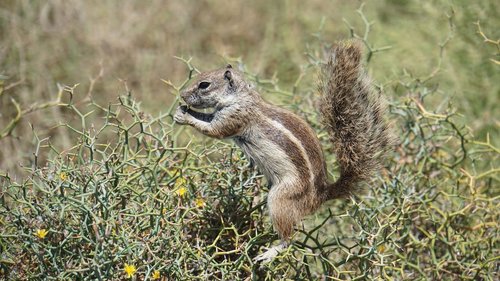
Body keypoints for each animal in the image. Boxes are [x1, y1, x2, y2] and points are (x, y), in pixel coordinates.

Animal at [174, 40, 392, 262]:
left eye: (204, 85)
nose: (182, 95)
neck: (242, 98)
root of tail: (320, 196)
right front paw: (182, 110)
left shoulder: (234, 119)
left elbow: (212, 129)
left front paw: (185, 116)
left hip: (281, 199)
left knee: (290, 238)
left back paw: (271, 252)